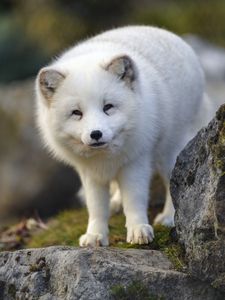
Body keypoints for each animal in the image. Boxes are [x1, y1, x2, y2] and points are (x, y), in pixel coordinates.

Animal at [35, 25, 214, 246]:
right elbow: (96, 207)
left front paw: (138, 229)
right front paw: (95, 234)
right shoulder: (89, 172)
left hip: (169, 152)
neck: (104, 157)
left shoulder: (136, 162)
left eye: (108, 107)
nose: (96, 134)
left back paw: (169, 217)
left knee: (173, 183)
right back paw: (116, 203)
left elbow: (135, 200)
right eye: (77, 113)